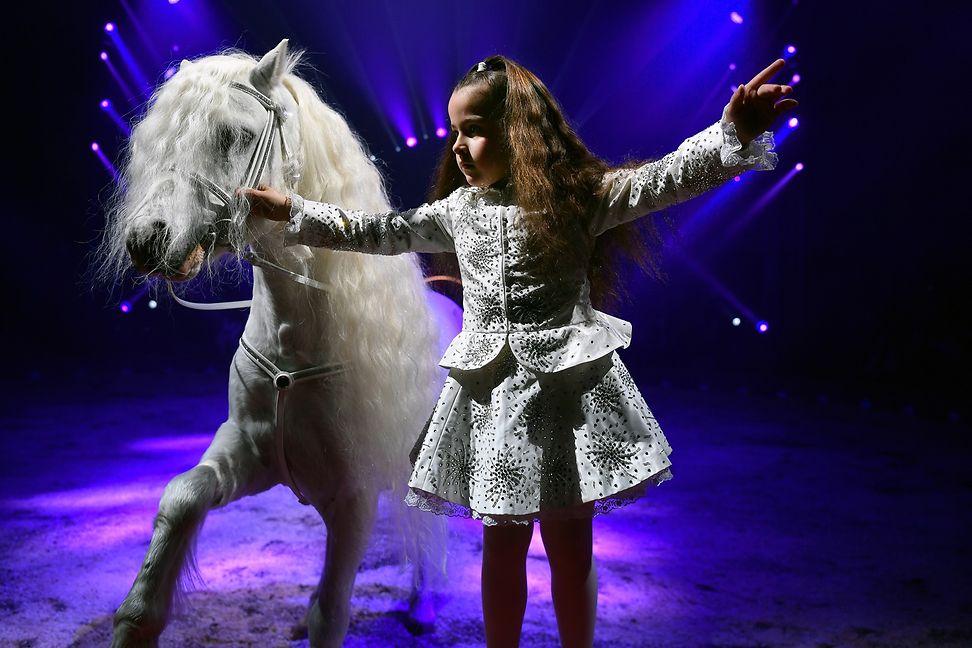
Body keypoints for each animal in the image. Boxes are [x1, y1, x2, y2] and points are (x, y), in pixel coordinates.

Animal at [98, 41, 448, 648]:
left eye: (231, 135)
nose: (145, 241)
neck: (296, 345)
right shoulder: (245, 452)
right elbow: (180, 497)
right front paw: (137, 621)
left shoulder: (353, 500)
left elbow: (330, 611)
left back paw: (423, 607)